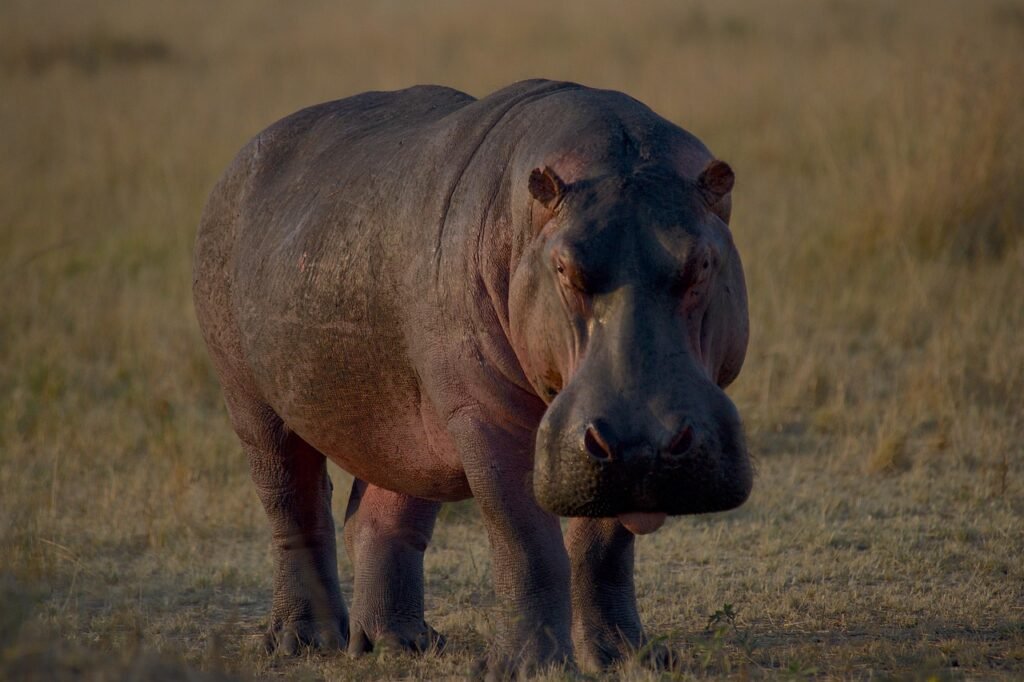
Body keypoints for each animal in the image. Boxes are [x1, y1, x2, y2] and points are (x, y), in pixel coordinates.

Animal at [192, 79, 751, 676]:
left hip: (406, 420)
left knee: (381, 516)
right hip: (251, 401)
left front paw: (629, 658)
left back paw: (399, 643)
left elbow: (604, 545)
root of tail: (236, 164)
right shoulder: (486, 413)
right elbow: (524, 539)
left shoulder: (609, 453)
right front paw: (527, 668)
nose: (645, 441)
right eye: (563, 268)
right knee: (294, 505)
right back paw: (303, 641)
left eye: (702, 263)